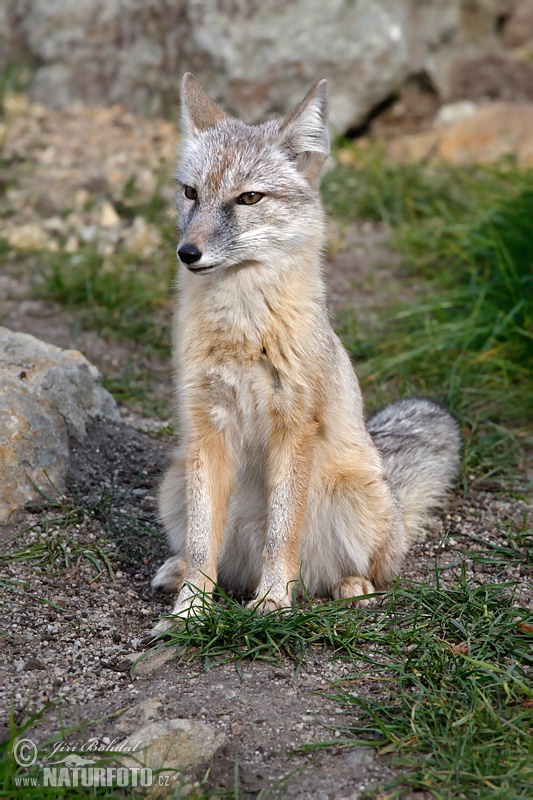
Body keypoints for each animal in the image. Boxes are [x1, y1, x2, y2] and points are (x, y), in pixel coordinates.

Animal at [152, 73, 460, 624]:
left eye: (249, 198)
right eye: (190, 193)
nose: (188, 253)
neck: (243, 330)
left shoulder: (293, 427)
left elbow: (282, 533)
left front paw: (274, 600)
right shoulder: (206, 428)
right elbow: (203, 540)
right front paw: (190, 611)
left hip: (351, 499)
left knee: (372, 570)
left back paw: (350, 587)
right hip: (175, 481)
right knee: (211, 555)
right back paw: (181, 571)